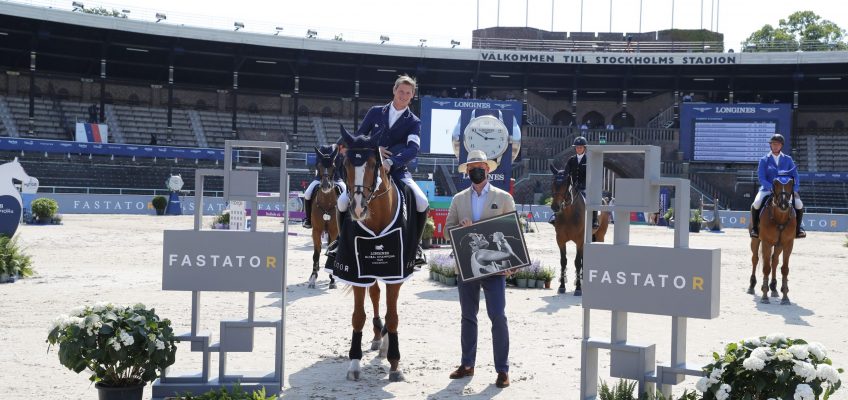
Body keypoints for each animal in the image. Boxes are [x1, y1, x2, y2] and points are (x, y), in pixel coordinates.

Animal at [548, 164, 608, 296]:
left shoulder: (580, 240)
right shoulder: (560, 240)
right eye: (553, 183)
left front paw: (578, 289)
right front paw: (562, 286)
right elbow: (563, 261)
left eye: (566, 184)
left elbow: (577, 262)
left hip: (600, 236)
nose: (555, 207)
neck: (569, 214)